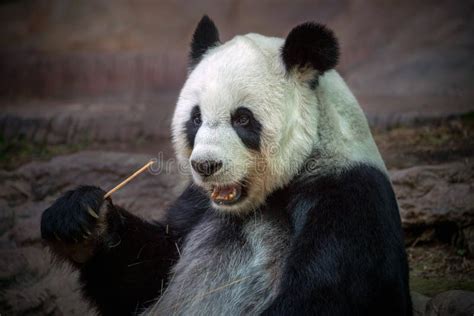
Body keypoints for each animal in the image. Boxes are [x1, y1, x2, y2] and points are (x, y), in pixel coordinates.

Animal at [40, 15, 412, 316]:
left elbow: (324, 294)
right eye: (196, 118)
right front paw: (80, 221)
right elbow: (147, 274)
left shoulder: (348, 199)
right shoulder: (197, 203)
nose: (205, 165)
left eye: (243, 119)